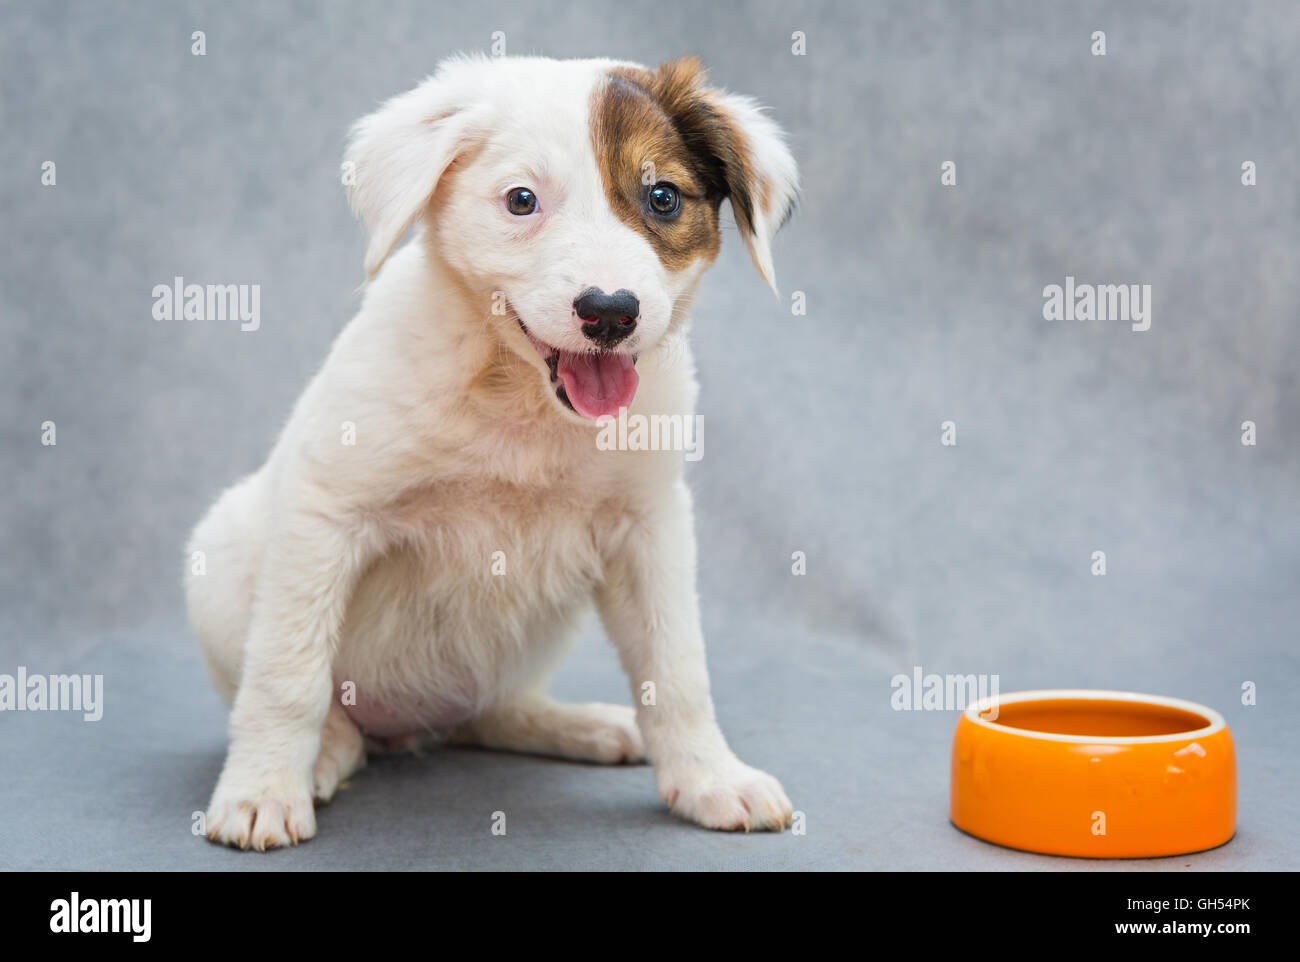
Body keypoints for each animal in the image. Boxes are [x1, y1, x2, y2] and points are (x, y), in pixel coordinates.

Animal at [187, 54, 795, 847]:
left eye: (662, 198)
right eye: (521, 201)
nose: (610, 313)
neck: (519, 396)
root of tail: (409, 726)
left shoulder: (650, 526)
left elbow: (677, 668)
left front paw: (710, 779)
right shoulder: (325, 511)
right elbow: (288, 673)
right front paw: (261, 789)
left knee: (489, 709)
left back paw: (576, 725)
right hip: (220, 556)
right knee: (320, 700)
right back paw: (329, 750)